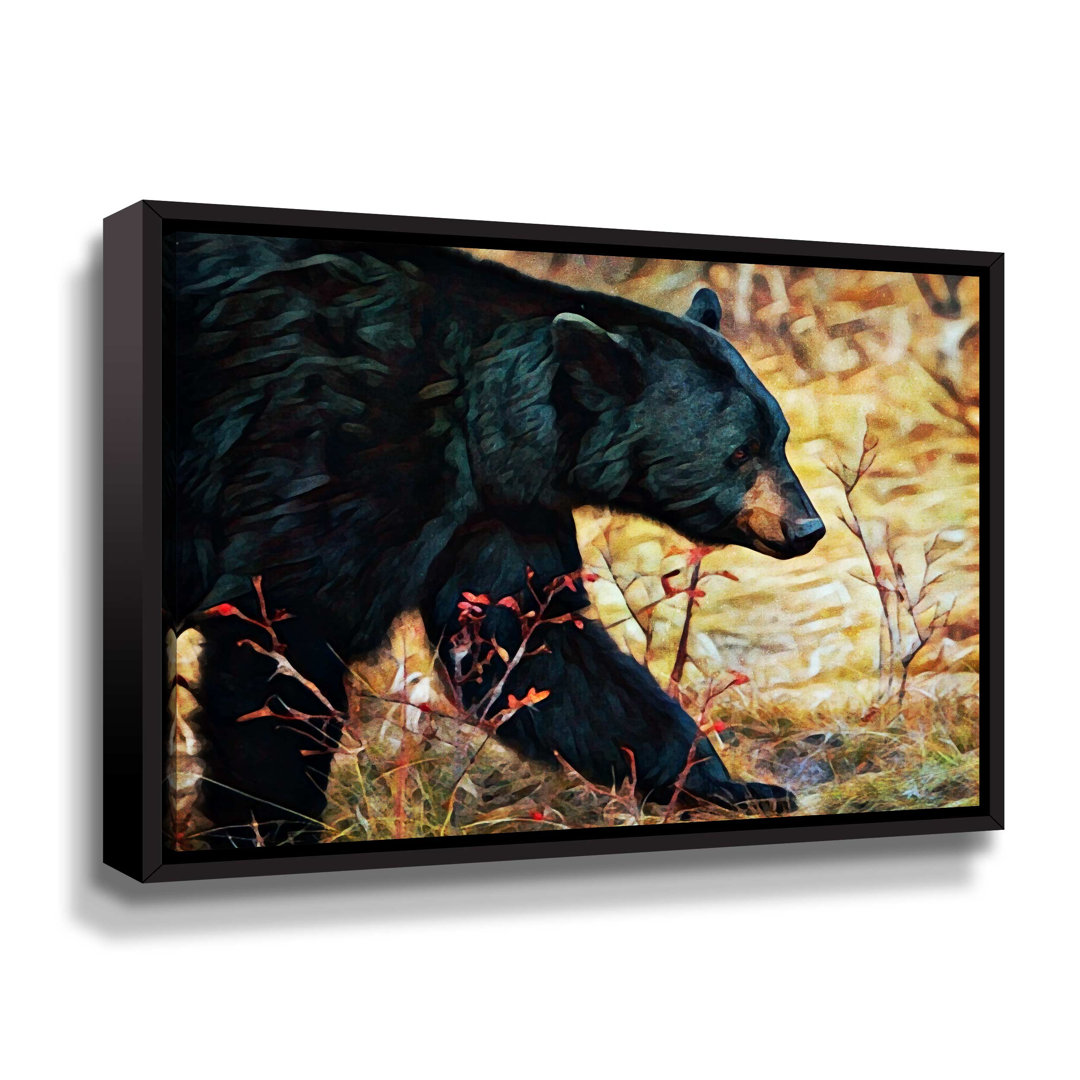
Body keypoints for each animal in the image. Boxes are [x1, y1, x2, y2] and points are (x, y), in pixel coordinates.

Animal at [167, 232, 825, 847]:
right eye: (738, 452)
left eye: (779, 437)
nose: (806, 528)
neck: (475, 410)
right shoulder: (330, 451)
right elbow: (283, 629)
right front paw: (265, 825)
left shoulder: (500, 511)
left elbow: (532, 645)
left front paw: (733, 785)